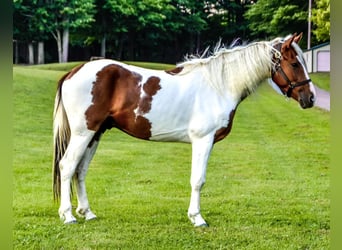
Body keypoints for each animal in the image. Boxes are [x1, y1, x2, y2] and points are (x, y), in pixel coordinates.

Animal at [52, 32, 316, 227]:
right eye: (294, 63)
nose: (310, 98)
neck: (218, 86)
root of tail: (73, 72)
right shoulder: (203, 140)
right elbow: (198, 180)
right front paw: (197, 218)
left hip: (95, 134)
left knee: (80, 170)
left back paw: (87, 213)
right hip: (83, 133)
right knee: (67, 166)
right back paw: (68, 215)